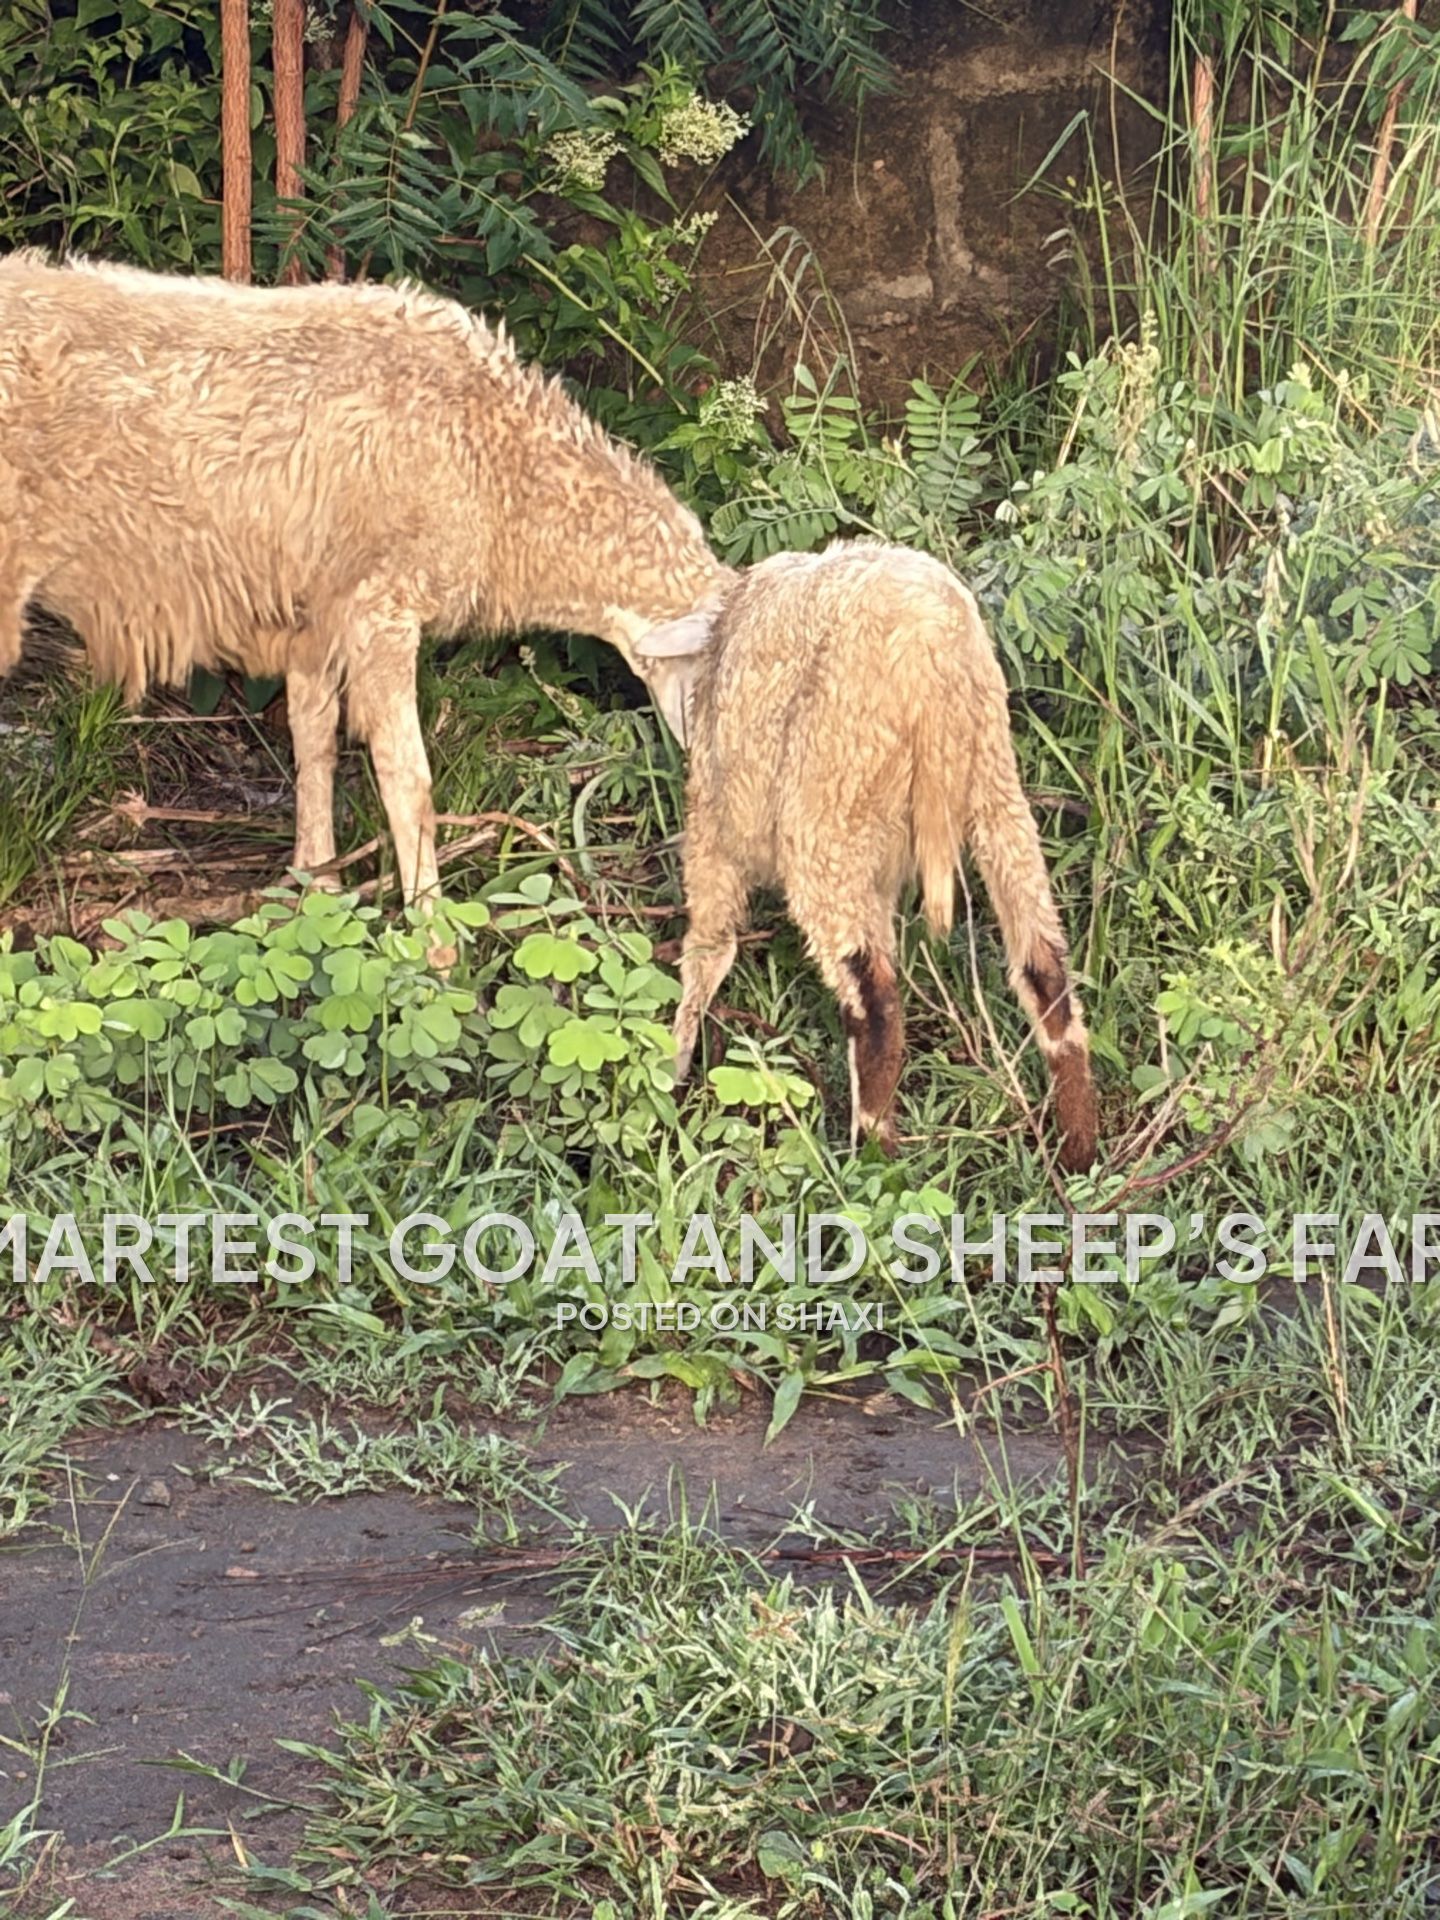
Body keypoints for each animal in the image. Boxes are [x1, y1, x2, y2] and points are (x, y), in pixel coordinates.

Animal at [0, 250, 730, 916]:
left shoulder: (315, 615)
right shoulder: (382, 607)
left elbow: (314, 739)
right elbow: (408, 778)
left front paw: (317, 885)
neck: (500, 474)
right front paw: (433, 937)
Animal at [634, 539, 1100, 1172]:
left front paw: (674, 1060)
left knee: (875, 999)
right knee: (1044, 967)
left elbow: (710, 943)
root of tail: (929, 644)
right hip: (992, 779)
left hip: (829, 805)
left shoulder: (716, 811)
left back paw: (873, 1154)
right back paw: (1080, 1151)